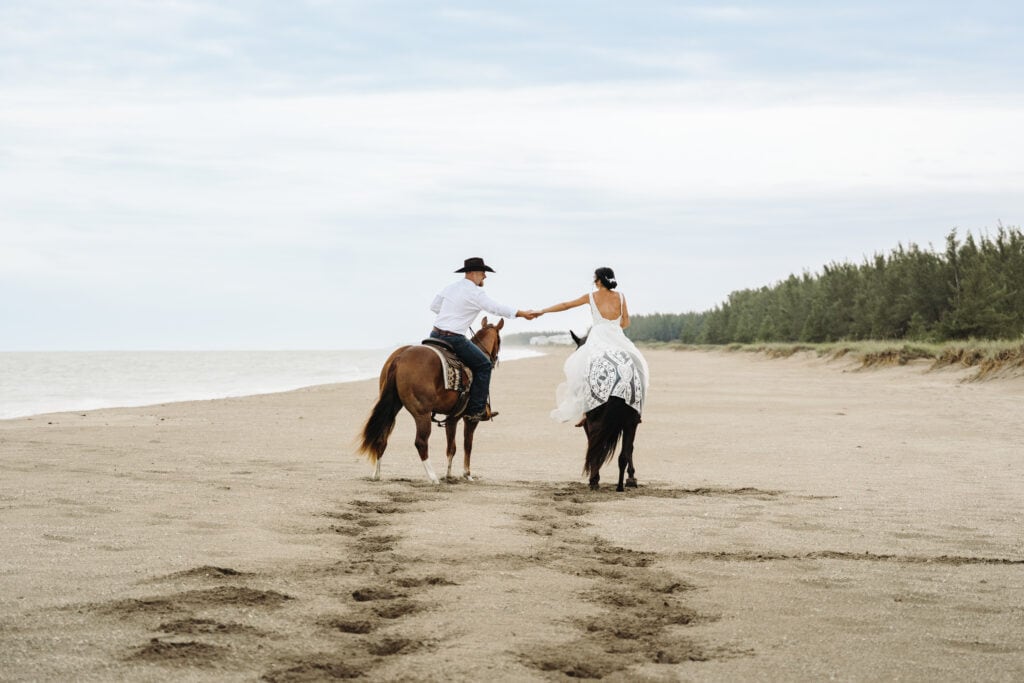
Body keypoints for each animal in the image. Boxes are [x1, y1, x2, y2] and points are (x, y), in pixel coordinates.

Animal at [360, 317, 503, 483]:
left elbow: (451, 447)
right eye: (499, 341)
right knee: (420, 442)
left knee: (382, 437)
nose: (494, 360)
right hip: (422, 413)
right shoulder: (470, 419)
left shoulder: (452, 418)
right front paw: (467, 474)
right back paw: (433, 477)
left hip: (392, 407)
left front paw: (449, 474)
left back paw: (376, 474)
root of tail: (400, 357)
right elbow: (467, 445)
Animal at [569, 331, 638, 491]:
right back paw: (620, 486)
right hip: (630, 422)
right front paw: (631, 477)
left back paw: (595, 480)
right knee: (624, 454)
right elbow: (629, 448)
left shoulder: (589, 421)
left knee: (597, 447)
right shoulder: (631, 423)